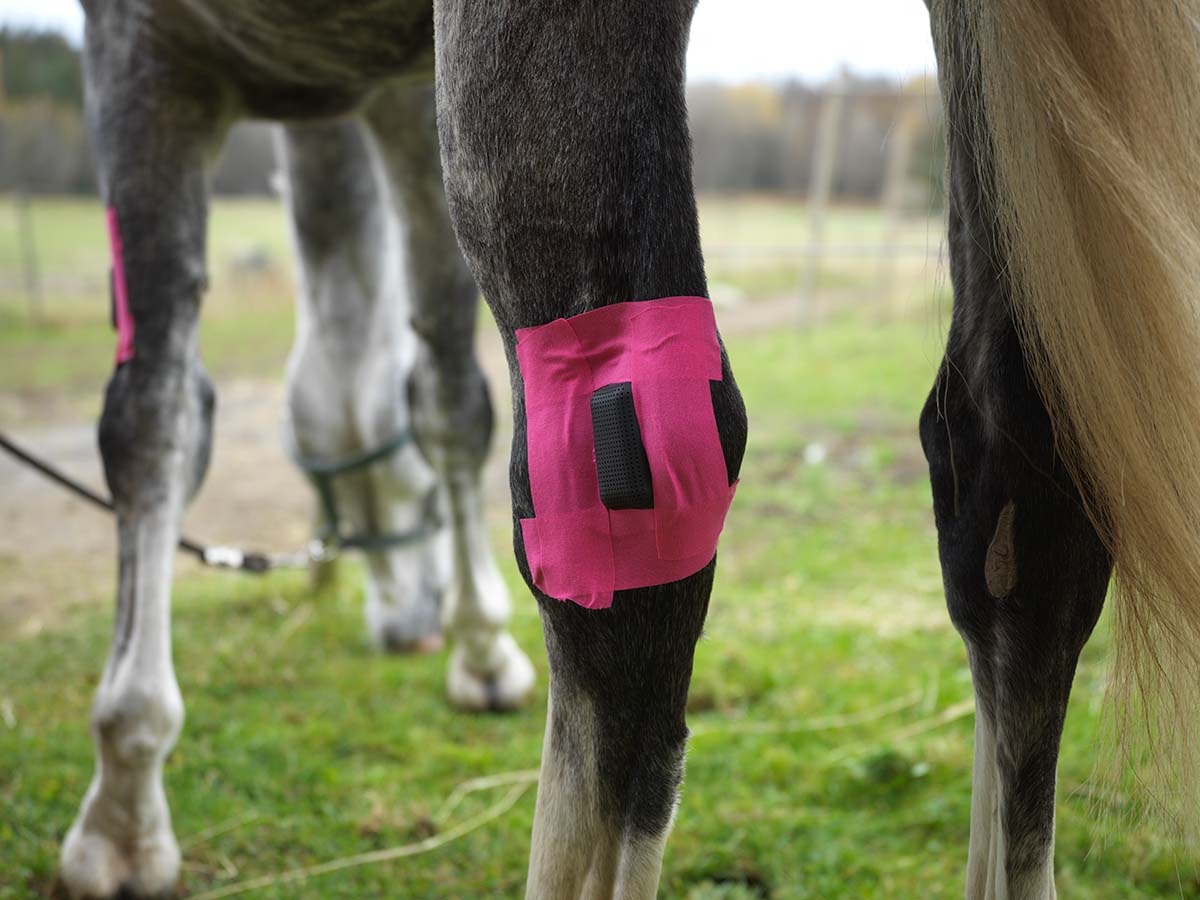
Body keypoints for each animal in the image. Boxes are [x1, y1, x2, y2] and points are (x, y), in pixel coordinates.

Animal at [61, 0, 1200, 898]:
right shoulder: (392, 101)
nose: (406, 622)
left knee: (620, 569)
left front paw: (123, 803)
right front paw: (476, 648)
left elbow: (150, 417)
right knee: (1016, 491)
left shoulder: (141, 52)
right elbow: (443, 394)